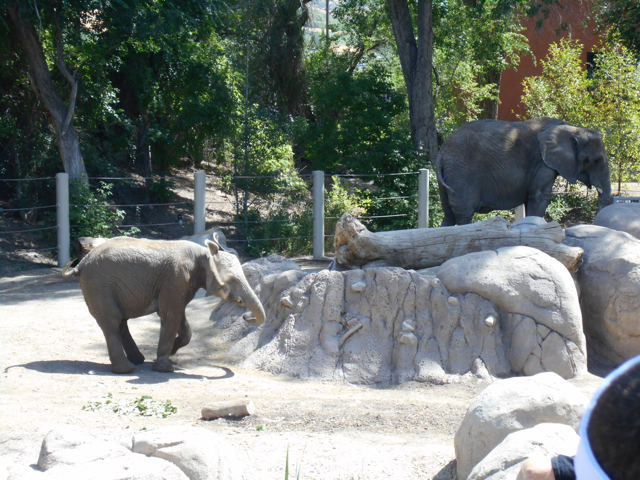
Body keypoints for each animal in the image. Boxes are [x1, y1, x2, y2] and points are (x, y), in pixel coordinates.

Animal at [63, 236, 265, 374]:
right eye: (232, 280)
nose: (245, 314)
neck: (203, 253)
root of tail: (80, 264)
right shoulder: (176, 278)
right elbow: (171, 314)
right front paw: (165, 368)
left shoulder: (182, 283)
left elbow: (179, 316)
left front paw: (172, 355)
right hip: (99, 285)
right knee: (111, 320)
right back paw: (127, 369)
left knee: (120, 320)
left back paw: (138, 361)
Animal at [435, 117, 613, 226]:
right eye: (595, 160)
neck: (571, 128)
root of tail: (442, 152)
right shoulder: (542, 163)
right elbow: (540, 197)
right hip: (461, 173)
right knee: (463, 215)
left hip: (449, 175)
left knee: (448, 216)